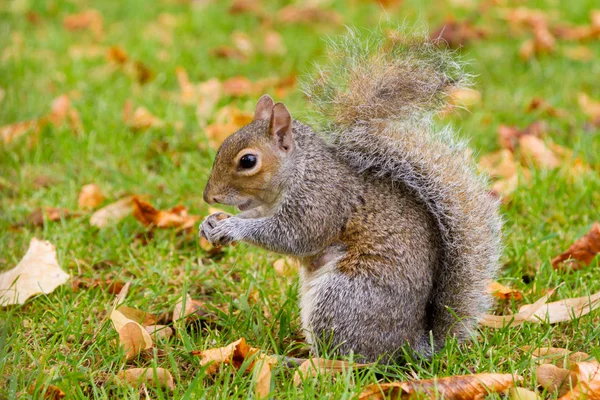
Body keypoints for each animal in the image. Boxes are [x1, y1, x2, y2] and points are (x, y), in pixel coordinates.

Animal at [198, 28, 502, 362]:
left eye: (248, 161)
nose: (209, 197)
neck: (300, 169)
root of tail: (410, 345)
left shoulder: (321, 200)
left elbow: (291, 235)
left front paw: (232, 226)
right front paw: (211, 223)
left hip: (344, 298)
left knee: (349, 361)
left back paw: (293, 361)